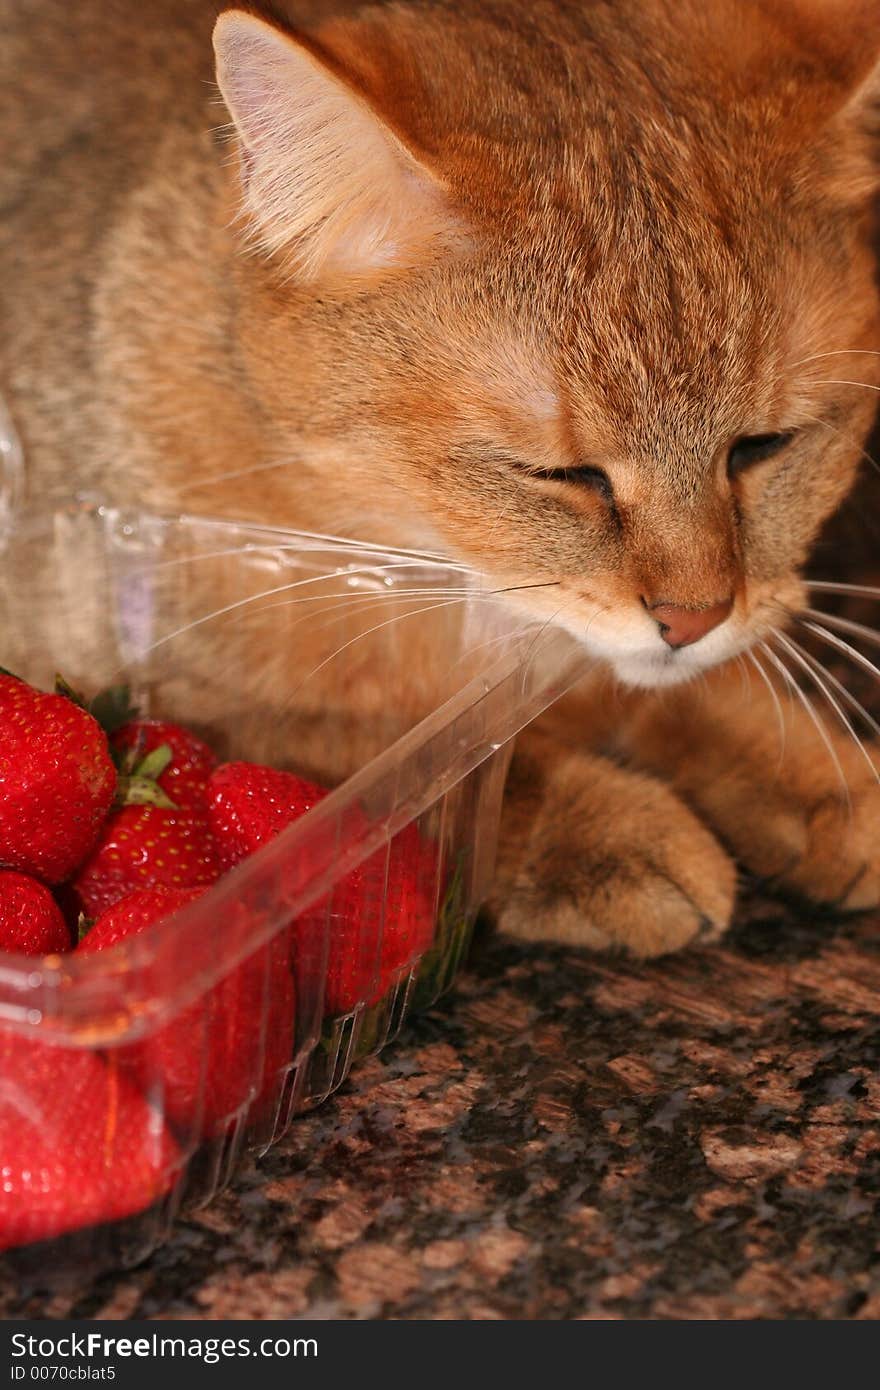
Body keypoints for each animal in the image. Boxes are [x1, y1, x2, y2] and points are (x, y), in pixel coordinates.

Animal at [1, 0, 878, 956]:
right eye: (562, 474)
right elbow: (415, 762)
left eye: (763, 446)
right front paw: (600, 828)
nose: (693, 618)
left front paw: (806, 768)